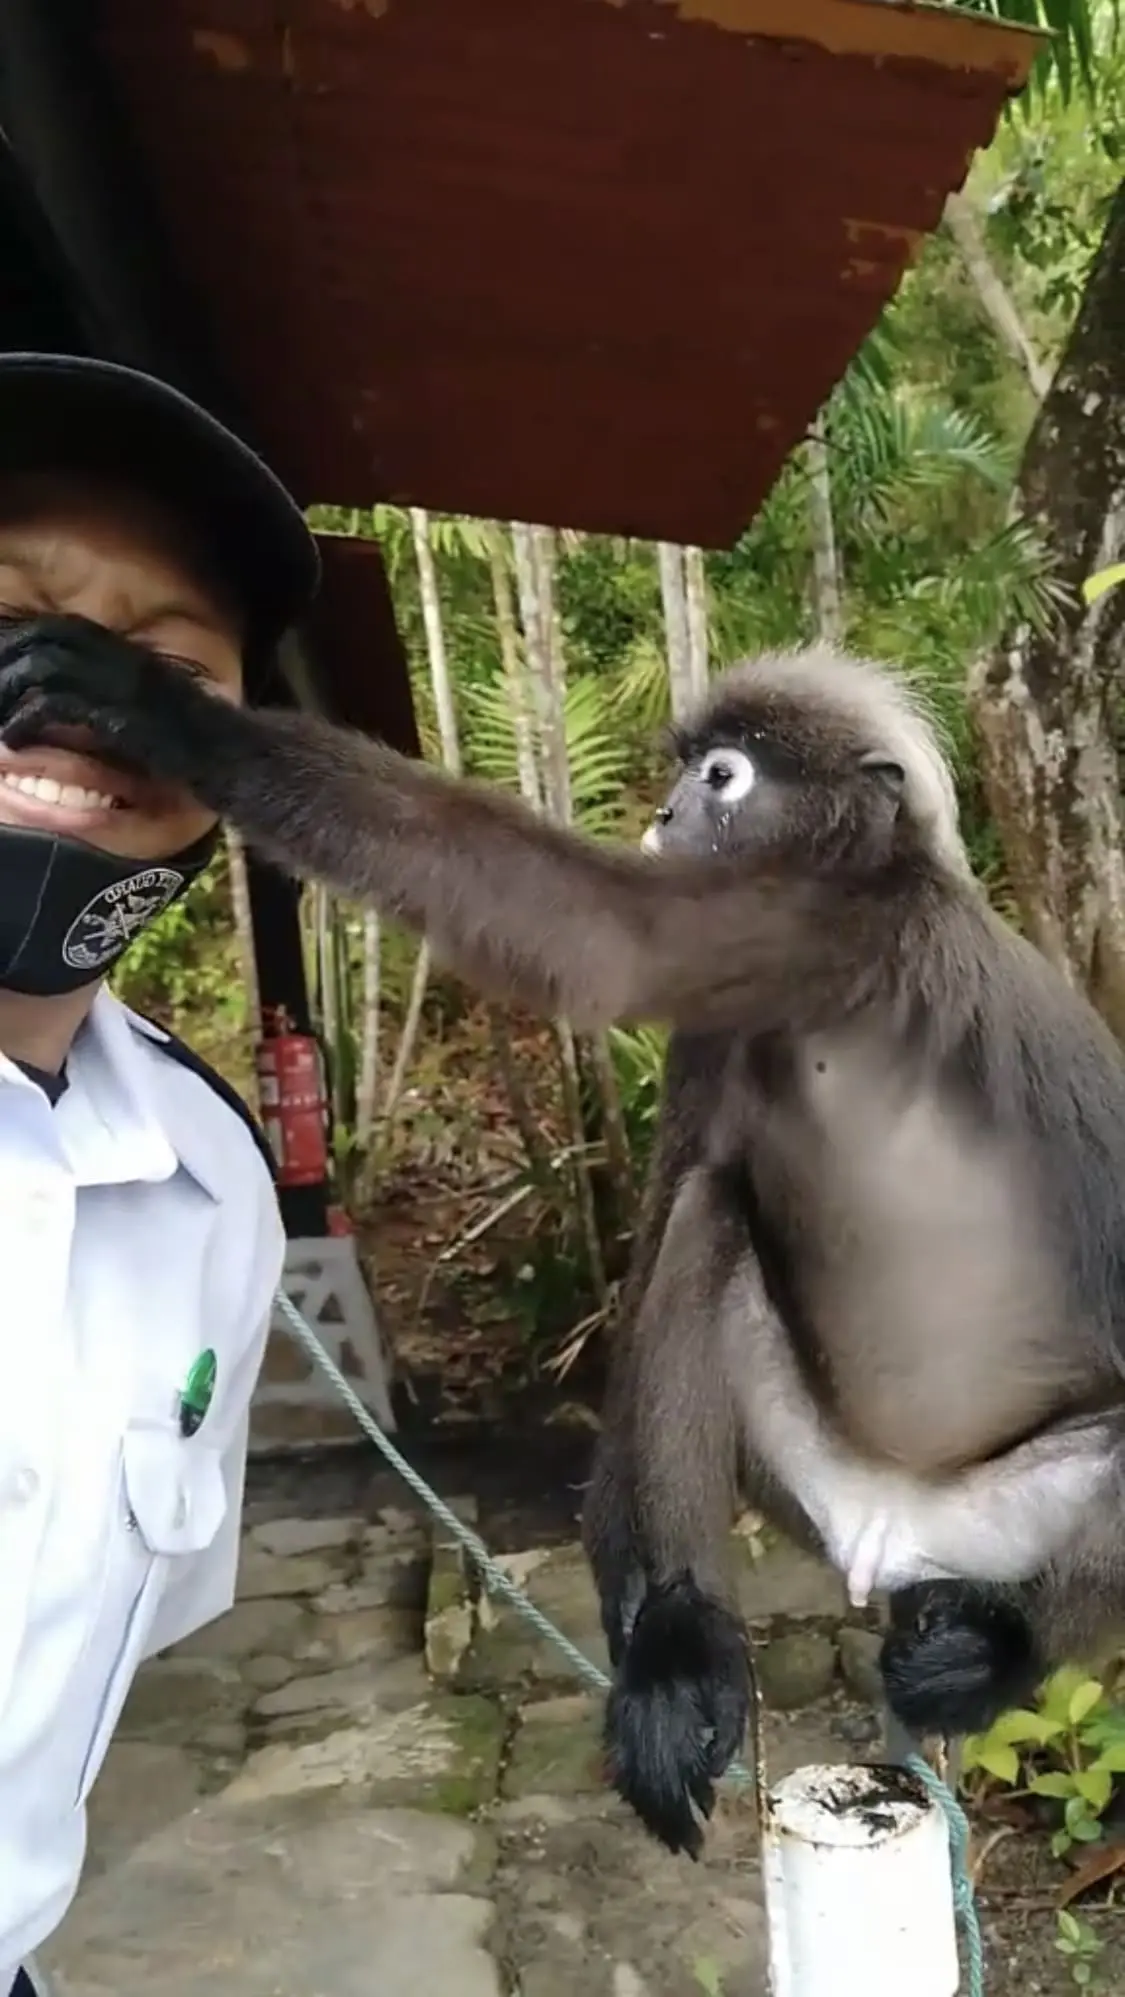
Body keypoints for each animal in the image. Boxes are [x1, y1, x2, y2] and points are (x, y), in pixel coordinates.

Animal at [4, 617, 1125, 1859]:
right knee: (707, 1216)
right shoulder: (726, 1019)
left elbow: (604, 938)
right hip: (809, 1475)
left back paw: (998, 1653)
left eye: (721, 775)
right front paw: (653, 1647)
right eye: (688, 775)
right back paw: (686, 1635)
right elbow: (658, 1232)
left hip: (1019, 1518)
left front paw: (163, 711)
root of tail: (893, 1529)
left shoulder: (808, 919)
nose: (667, 814)